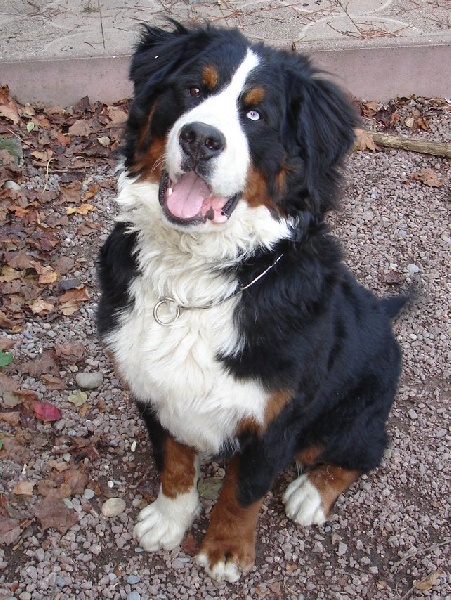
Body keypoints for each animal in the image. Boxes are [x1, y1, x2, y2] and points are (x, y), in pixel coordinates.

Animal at [97, 21, 407, 582]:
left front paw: (225, 549)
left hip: (349, 414)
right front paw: (170, 520)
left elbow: (243, 492)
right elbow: (172, 462)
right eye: (192, 89)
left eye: (257, 115)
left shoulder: (275, 419)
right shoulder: (151, 389)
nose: (200, 138)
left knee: (366, 451)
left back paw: (310, 493)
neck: (194, 276)